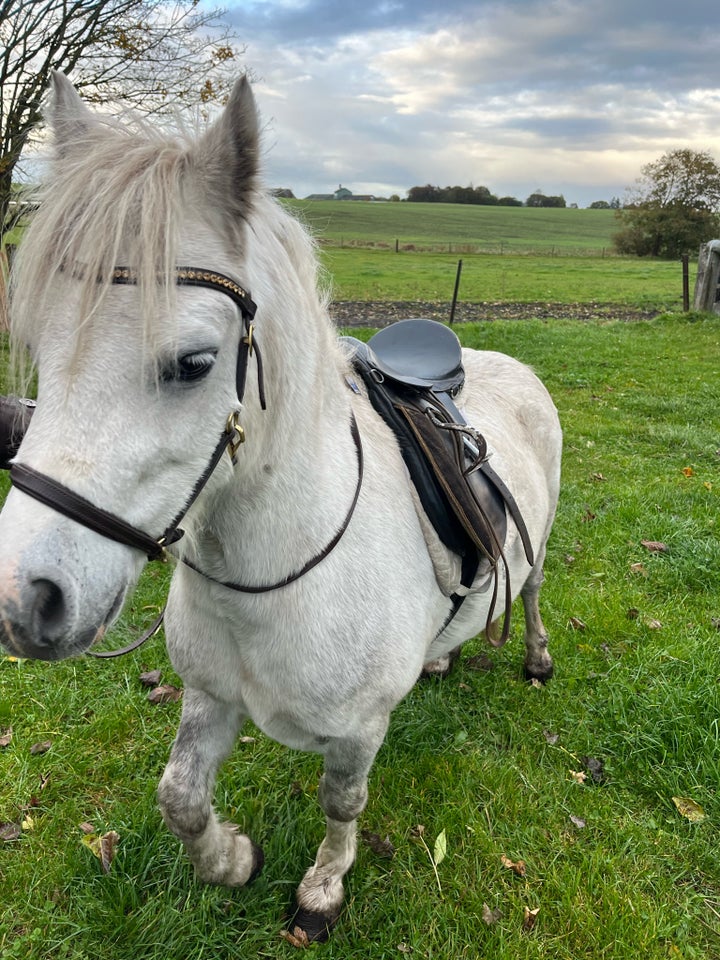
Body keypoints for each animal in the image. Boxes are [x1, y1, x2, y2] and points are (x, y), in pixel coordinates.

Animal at [0, 73, 564, 936]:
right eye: (37, 344)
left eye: (195, 363)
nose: (25, 603)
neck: (278, 574)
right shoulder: (207, 698)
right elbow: (179, 797)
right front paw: (233, 860)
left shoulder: (358, 733)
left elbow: (342, 803)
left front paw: (322, 889)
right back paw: (441, 655)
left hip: (538, 553)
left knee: (530, 593)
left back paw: (535, 660)